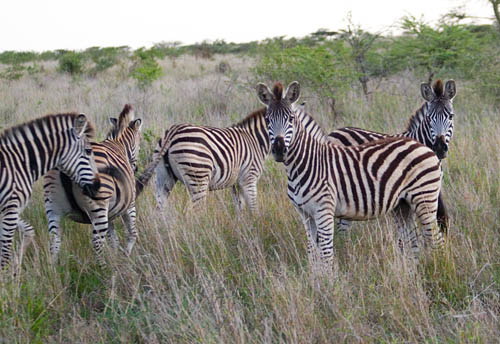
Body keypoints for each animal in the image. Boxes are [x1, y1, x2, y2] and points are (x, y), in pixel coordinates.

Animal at [0, 113, 101, 268]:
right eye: (89, 151)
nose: (98, 186)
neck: (20, 164)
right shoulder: (10, 208)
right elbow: (5, 254)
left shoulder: (8, 209)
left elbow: (28, 230)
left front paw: (16, 269)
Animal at [42, 105, 146, 266]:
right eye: (140, 140)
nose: (135, 168)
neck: (119, 145)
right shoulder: (129, 204)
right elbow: (132, 233)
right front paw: (125, 256)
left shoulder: (111, 211)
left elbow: (113, 239)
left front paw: (116, 259)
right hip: (98, 206)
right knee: (96, 242)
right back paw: (103, 269)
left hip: (52, 207)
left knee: (54, 241)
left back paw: (52, 270)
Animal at [258, 82, 446, 268]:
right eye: (267, 120)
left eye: (291, 118)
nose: (279, 150)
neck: (305, 164)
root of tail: (423, 146)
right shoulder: (305, 214)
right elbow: (313, 254)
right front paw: (315, 277)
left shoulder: (324, 211)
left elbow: (326, 254)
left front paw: (329, 278)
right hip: (403, 205)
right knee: (413, 241)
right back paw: (414, 270)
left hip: (424, 199)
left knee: (437, 240)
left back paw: (438, 269)